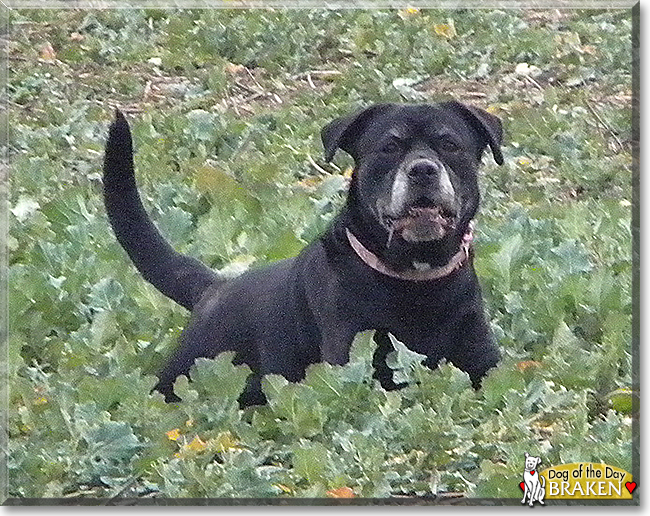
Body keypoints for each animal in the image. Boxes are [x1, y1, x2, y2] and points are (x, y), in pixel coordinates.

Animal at [104, 102, 504, 408]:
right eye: (389, 147)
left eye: (449, 144)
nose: (422, 169)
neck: (416, 279)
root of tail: (214, 289)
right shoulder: (355, 363)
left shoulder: (484, 364)